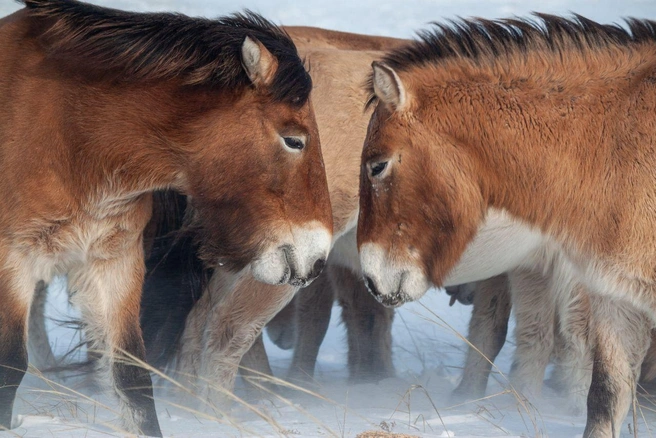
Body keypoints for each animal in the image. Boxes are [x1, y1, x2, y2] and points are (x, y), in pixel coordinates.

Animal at [0, 1, 332, 435]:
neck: (70, 135)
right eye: (294, 139)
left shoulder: (114, 261)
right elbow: (9, 367)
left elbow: (131, 375)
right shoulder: (13, 260)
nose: (318, 257)